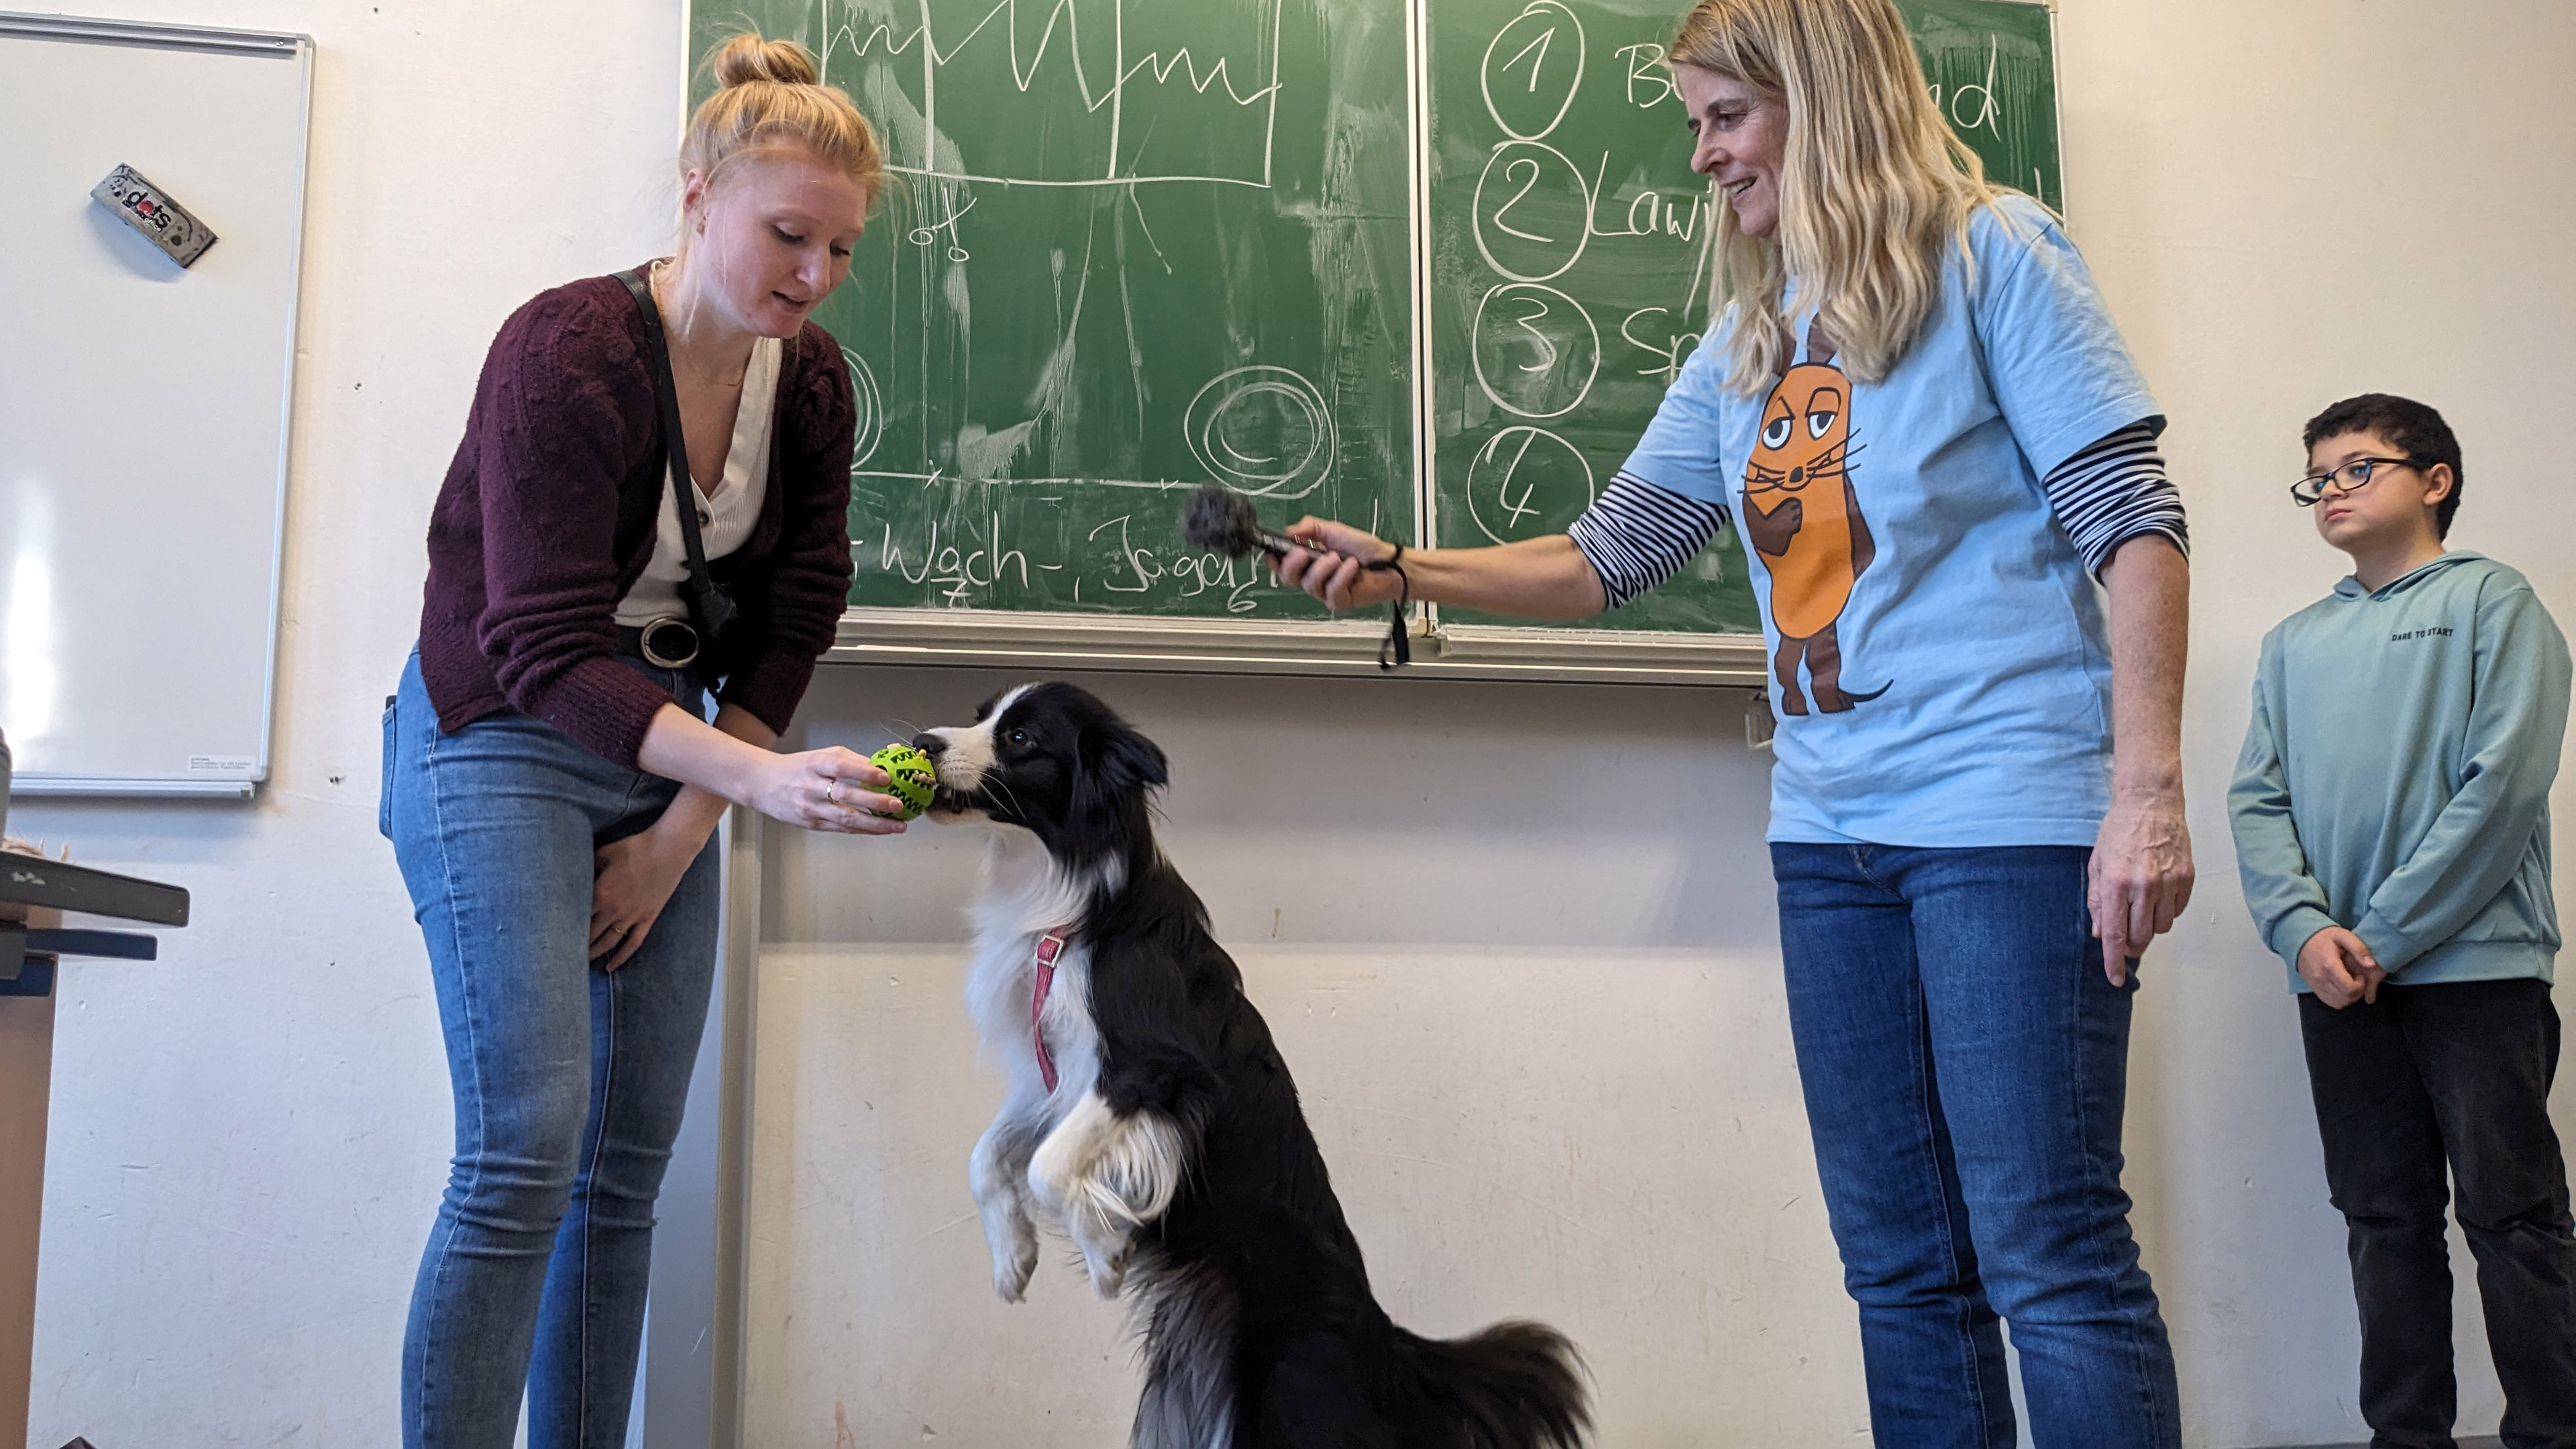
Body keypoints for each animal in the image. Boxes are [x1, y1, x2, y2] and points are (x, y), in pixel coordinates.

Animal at [906, 680, 1587, 1444]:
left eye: (1021, 738)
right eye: (979, 716)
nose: (923, 743)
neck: (1073, 899)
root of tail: (1382, 1339)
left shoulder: (1156, 1067)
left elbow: (1049, 1169)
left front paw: (1106, 1252)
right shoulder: (1049, 1082)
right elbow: (989, 1158)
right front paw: (1014, 1260)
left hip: (1293, 1397)